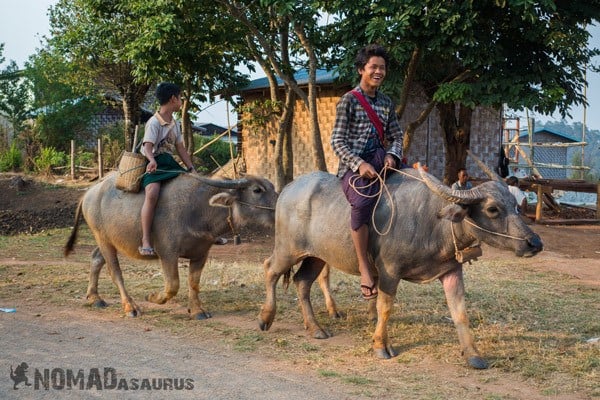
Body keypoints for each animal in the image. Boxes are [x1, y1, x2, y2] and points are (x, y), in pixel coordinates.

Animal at [63, 172, 276, 318]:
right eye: (257, 190)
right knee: (114, 271)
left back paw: (95, 297)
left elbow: (194, 282)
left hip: (111, 240)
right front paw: (152, 297)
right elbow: (173, 285)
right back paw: (130, 307)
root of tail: (89, 193)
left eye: (272, 187)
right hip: (102, 238)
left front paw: (198, 310)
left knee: (96, 258)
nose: (278, 208)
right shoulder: (167, 253)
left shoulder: (201, 253)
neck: (199, 209)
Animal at [258, 159, 544, 368]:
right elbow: (385, 308)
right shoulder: (389, 271)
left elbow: (460, 313)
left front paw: (473, 354)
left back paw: (315, 328)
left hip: (317, 256)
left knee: (302, 282)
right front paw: (380, 346)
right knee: (270, 269)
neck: (434, 221)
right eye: (493, 209)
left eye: (515, 205)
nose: (535, 243)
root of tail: (289, 188)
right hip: (288, 249)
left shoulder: (452, 271)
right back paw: (266, 318)